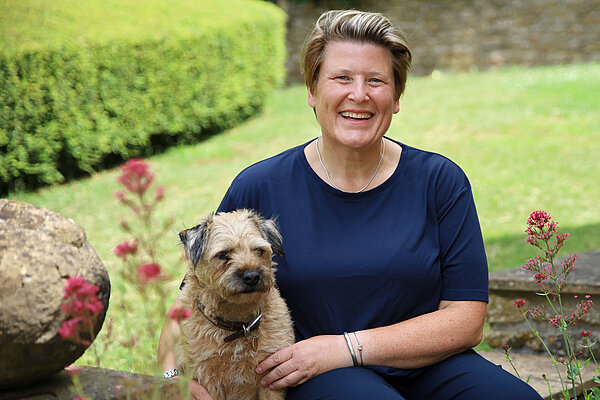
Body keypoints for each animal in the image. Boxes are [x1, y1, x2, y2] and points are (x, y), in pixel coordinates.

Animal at [173, 209, 296, 400]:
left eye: (259, 250)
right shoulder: (207, 378)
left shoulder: (270, 376)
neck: (239, 325)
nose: (252, 276)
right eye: (223, 254)